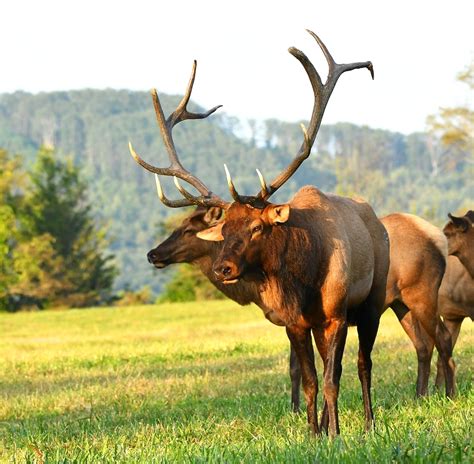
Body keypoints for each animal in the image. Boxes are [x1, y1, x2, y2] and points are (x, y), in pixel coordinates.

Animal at [129, 30, 388, 436]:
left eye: (256, 227)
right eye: (223, 229)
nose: (223, 268)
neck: (304, 281)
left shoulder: (336, 315)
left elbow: (332, 378)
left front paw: (335, 434)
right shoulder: (296, 322)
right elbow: (310, 379)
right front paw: (313, 432)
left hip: (372, 303)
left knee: (363, 365)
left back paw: (368, 423)